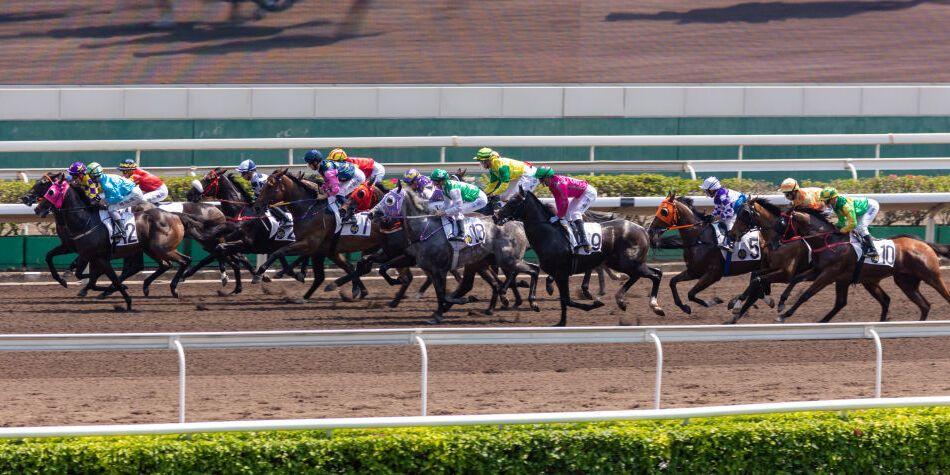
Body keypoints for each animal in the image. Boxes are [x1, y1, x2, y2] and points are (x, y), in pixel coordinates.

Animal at [494, 190, 664, 328]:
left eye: (513, 202)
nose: (496, 216)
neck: (550, 235)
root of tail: (642, 229)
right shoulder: (558, 274)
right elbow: (563, 299)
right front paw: (561, 322)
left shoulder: (562, 274)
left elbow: (567, 299)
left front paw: (595, 303)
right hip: (623, 263)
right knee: (648, 273)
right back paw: (621, 300)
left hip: (628, 263)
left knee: (655, 274)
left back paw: (655, 306)